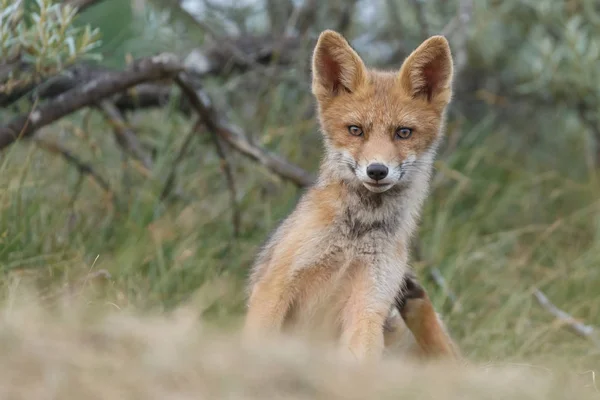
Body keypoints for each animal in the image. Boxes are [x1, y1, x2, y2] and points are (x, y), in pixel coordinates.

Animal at [241, 29, 458, 362]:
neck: (356, 235)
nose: (377, 170)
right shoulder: (275, 286)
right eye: (355, 130)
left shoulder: (369, 304)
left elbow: (361, 361)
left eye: (403, 132)